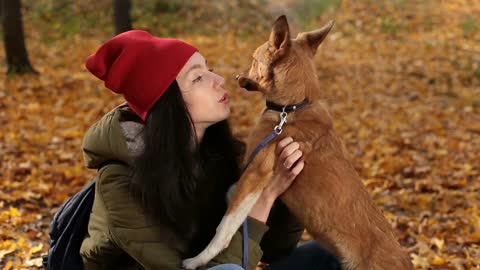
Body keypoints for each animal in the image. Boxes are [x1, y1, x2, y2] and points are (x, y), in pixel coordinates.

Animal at [184, 15, 412, 268]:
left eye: (253, 60)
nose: (235, 77)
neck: (291, 109)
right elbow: (231, 196)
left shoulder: (255, 172)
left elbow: (225, 226)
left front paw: (197, 260)